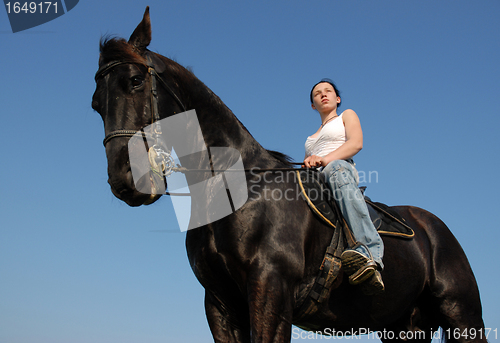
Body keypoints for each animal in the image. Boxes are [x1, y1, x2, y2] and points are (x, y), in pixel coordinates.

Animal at [93, 8, 484, 343]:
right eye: (96, 104)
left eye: (135, 81)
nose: (125, 181)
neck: (234, 189)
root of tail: (434, 227)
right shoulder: (219, 302)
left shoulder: (271, 289)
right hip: (403, 326)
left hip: (462, 316)